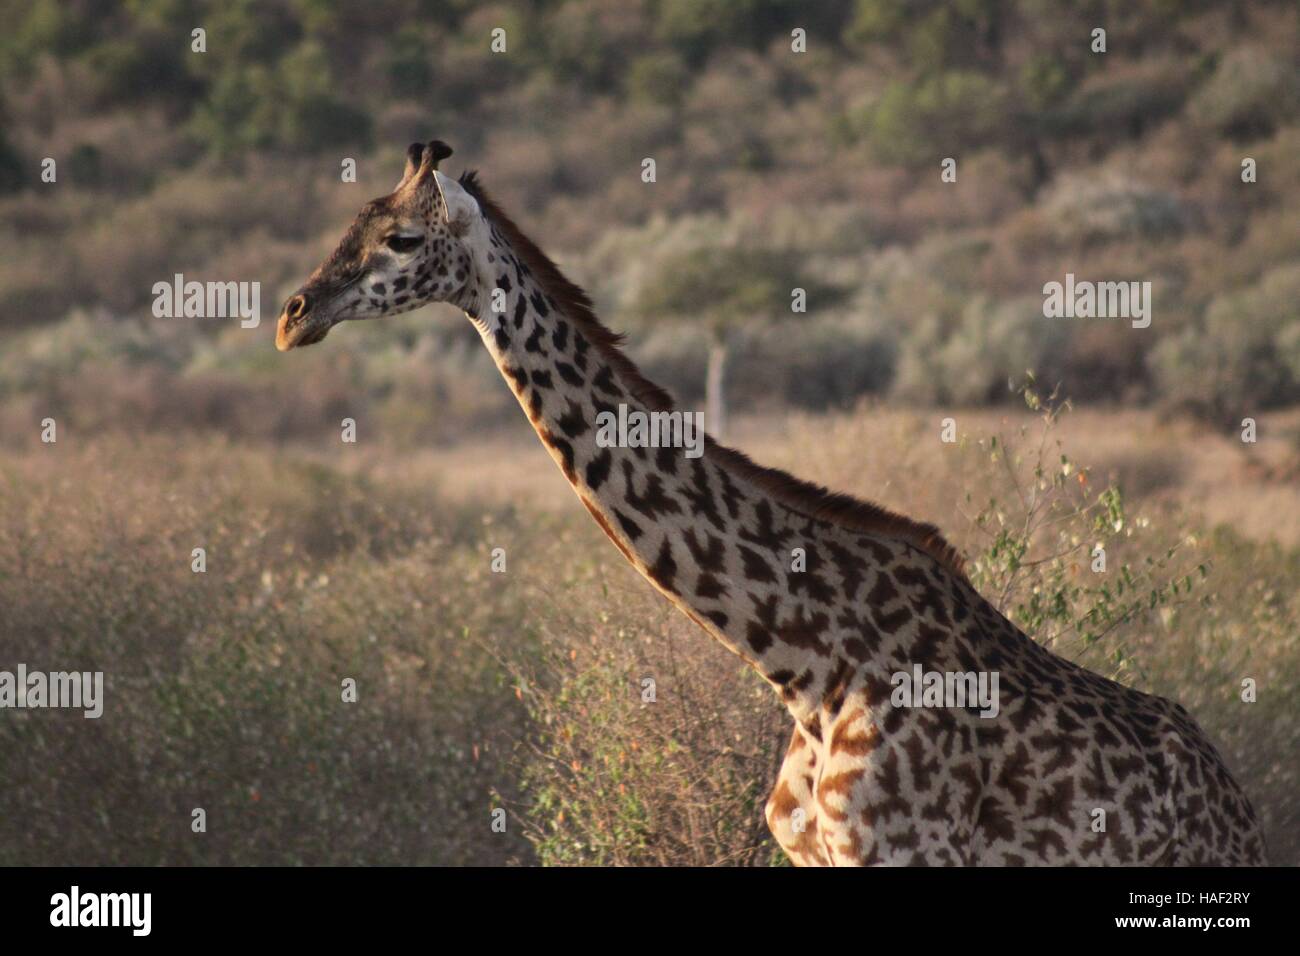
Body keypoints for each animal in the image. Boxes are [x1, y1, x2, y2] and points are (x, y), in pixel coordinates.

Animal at [275, 141, 1267, 866]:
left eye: (403, 240)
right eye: (350, 222)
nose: (292, 315)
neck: (806, 662)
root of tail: (1238, 806)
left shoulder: (903, 853)